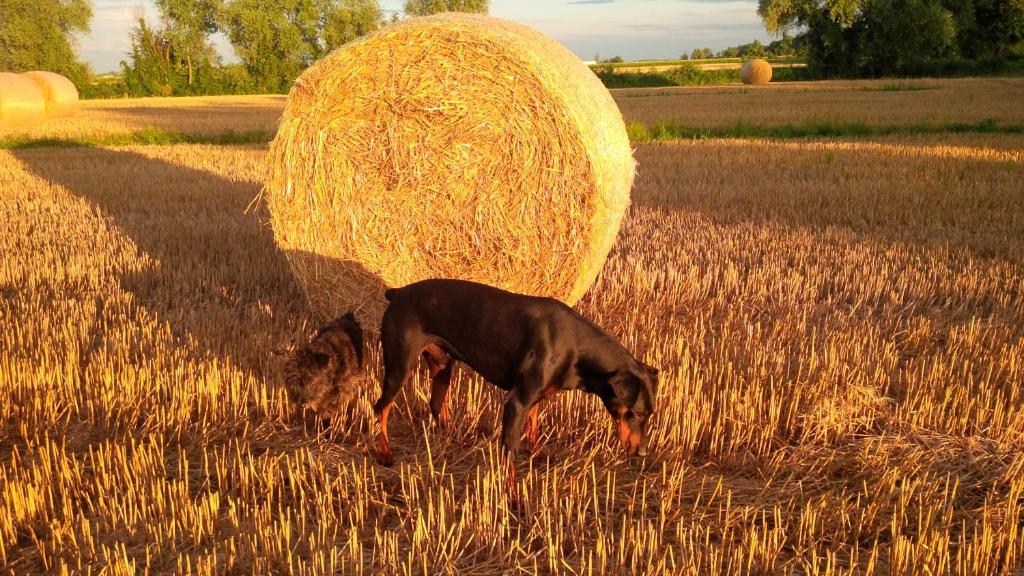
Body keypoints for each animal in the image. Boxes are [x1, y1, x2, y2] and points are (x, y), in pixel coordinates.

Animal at [374, 276, 655, 467]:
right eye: (638, 413)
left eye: (650, 414)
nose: (642, 452)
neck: (575, 345)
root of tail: (397, 293)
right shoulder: (517, 402)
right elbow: (510, 456)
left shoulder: (536, 398)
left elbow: (533, 430)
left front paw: (538, 455)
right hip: (400, 367)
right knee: (380, 408)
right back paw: (384, 454)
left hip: (443, 364)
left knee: (436, 404)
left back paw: (457, 439)